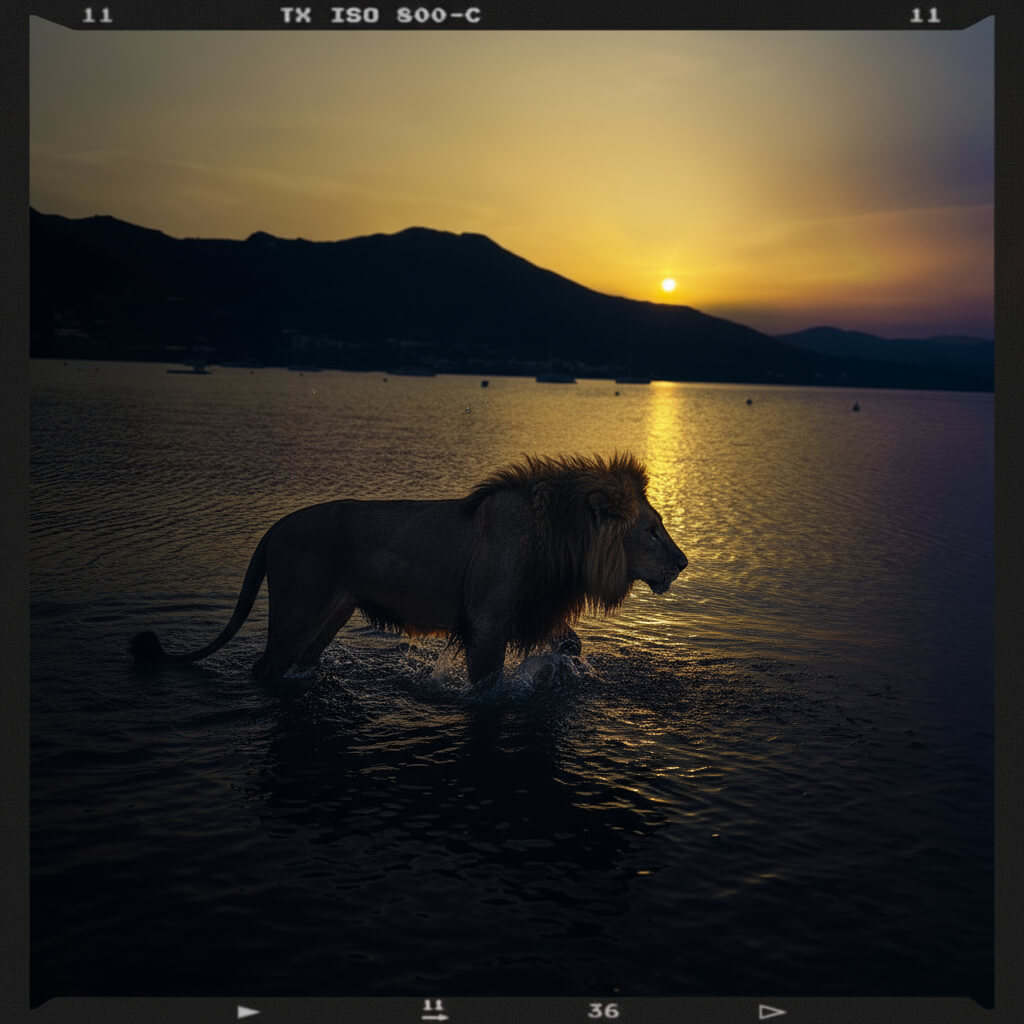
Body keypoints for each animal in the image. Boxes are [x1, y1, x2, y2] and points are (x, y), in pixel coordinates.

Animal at [130, 453, 687, 682]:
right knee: (263, 668)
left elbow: (568, 644)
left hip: (326, 619)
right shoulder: (487, 625)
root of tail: (274, 528)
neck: (560, 543)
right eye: (653, 529)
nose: (684, 563)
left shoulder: (531, 610)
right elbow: (486, 687)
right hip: (295, 615)